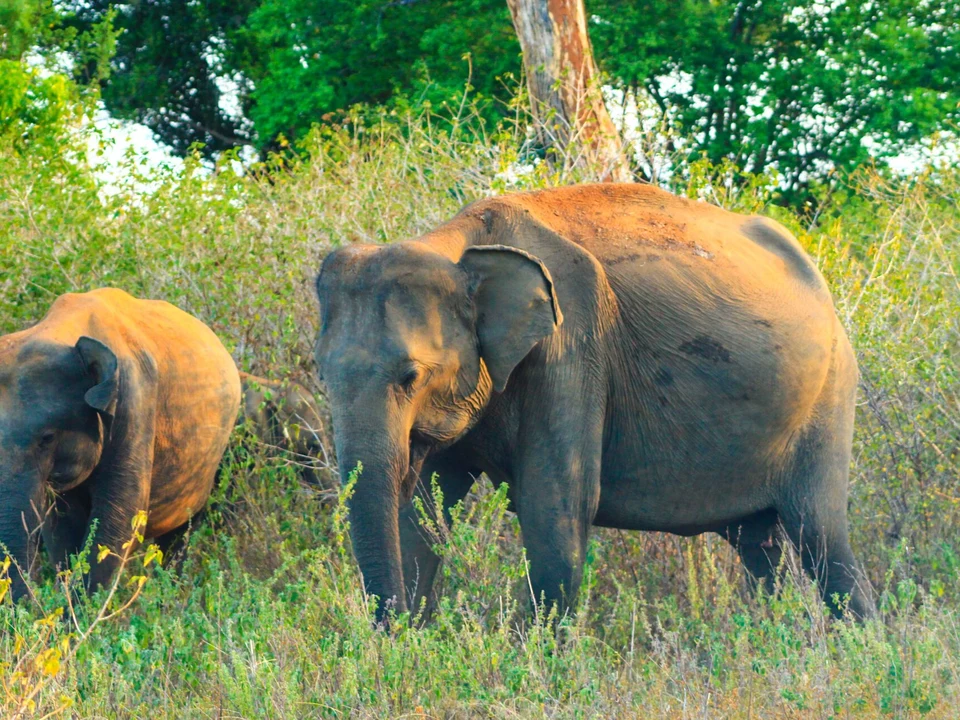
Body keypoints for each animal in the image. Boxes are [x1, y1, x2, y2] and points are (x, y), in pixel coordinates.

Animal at [313, 183, 873, 623]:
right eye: (322, 375)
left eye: (411, 377)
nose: (392, 634)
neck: (457, 243)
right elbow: (422, 523)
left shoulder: (571, 345)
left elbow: (556, 515)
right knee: (759, 547)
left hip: (829, 398)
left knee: (823, 539)